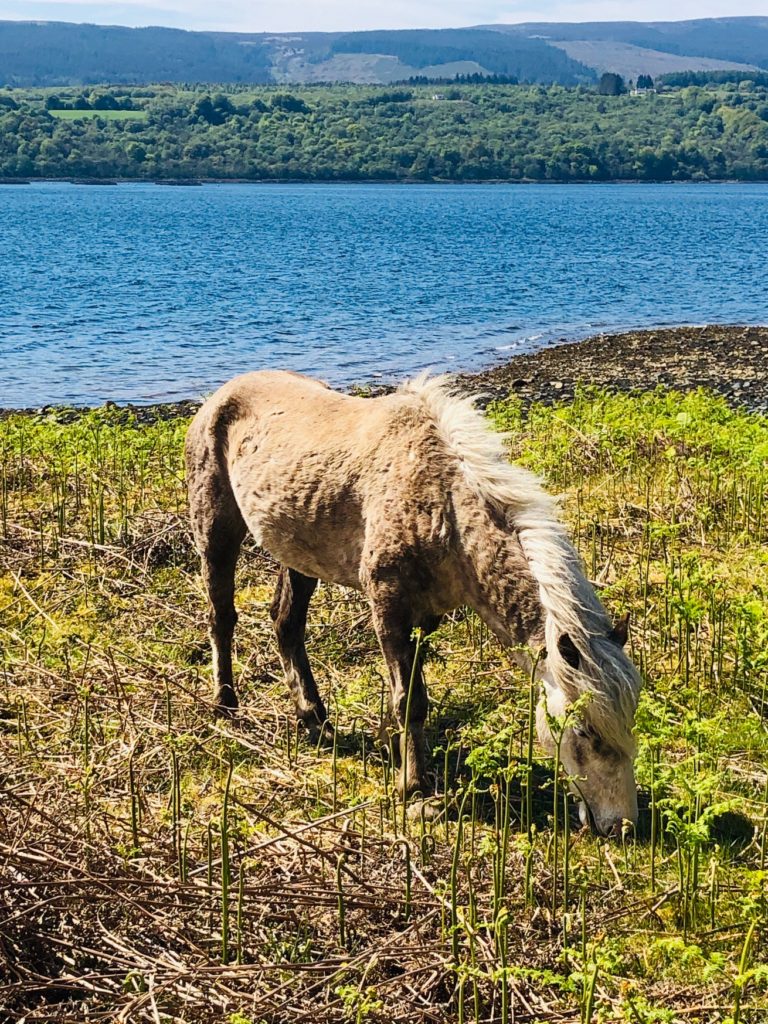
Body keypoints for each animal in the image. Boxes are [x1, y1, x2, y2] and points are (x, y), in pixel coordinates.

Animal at [185, 370, 642, 835]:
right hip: (215, 530)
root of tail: (220, 396)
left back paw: (315, 720)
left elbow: (412, 693)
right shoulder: (389, 607)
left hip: (298, 555)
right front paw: (415, 787)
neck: (442, 505)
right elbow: (410, 700)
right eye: (584, 732)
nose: (621, 825)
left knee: (286, 625)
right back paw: (226, 704)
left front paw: (401, 757)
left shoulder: (425, 617)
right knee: (222, 618)